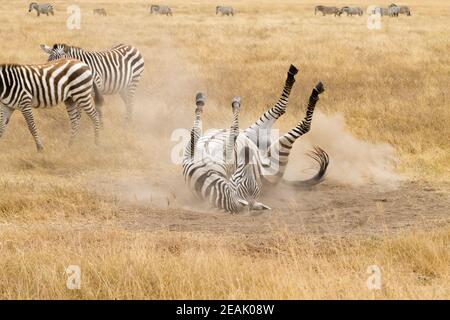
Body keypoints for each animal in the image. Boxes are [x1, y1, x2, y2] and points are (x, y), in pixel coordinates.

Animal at [181, 64, 328, 212]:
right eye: (241, 177)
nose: (247, 152)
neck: (207, 178)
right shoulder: (193, 153)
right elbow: (203, 131)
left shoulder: (196, 151)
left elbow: (204, 130)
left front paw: (202, 104)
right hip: (266, 146)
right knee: (291, 116)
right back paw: (309, 87)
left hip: (256, 137)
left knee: (285, 112)